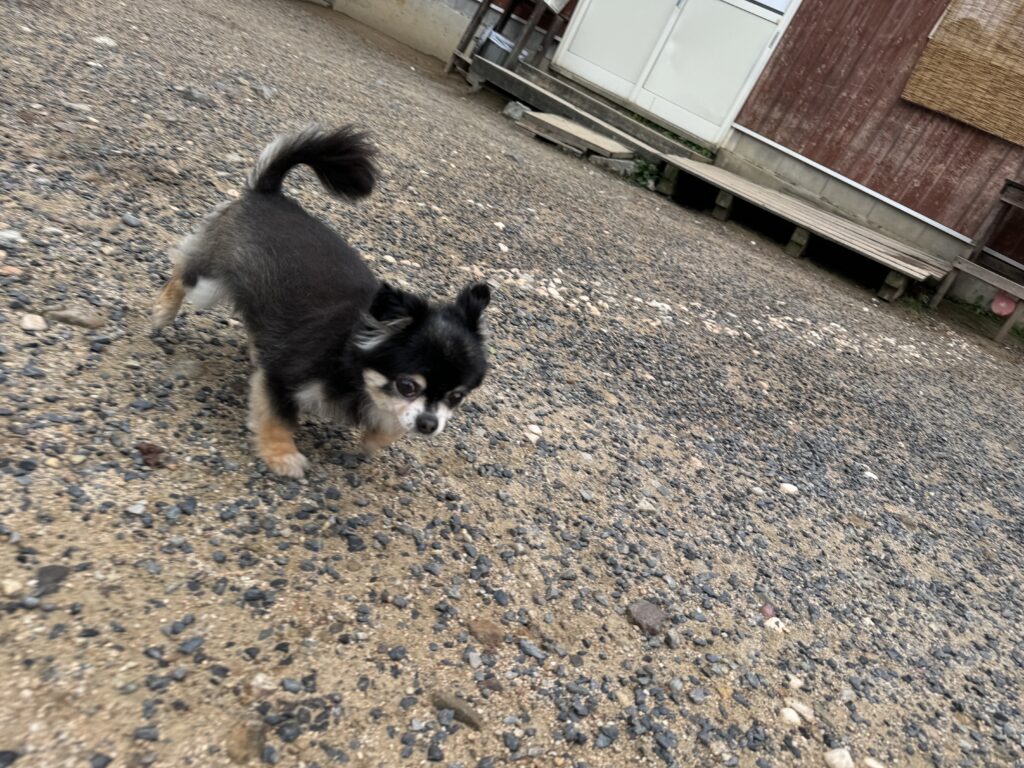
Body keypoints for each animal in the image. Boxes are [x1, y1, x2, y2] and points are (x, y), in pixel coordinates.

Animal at [151, 125, 492, 478]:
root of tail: (269, 193)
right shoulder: (282, 377)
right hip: (208, 285)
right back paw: (162, 312)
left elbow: (392, 427)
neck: (351, 357)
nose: (429, 425)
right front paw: (282, 456)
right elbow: (278, 417)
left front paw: (374, 439)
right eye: (407, 386)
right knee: (182, 273)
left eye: (456, 396)